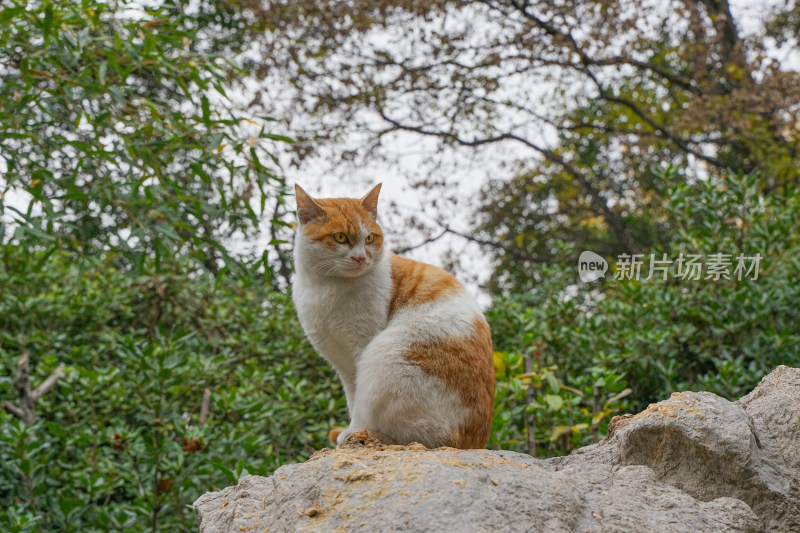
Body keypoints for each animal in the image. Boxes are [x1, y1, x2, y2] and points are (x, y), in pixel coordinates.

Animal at [292, 184, 494, 448]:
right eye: (340, 237)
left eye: (369, 238)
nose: (361, 258)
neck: (324, 286)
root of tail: (471, 444)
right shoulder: (342, 364)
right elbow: (351, 398)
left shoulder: (359, 350)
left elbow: (357, 402)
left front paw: (353, 430)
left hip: (386, 356)